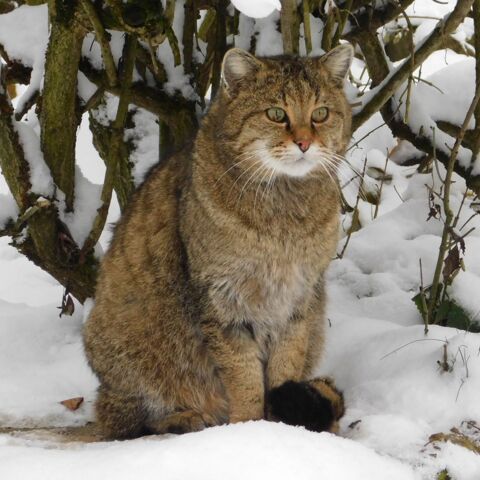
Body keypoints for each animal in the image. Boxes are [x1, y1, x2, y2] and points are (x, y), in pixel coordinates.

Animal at [83, 43, 352, 436]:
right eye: (276, 114)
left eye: (321, 114)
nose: (304, 142)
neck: (284, 211)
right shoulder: (222, 302)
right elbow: (244, 377)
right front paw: (248, 429)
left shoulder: (298, 301)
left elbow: (285, 366)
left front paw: (284, 431)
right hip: (128, 352)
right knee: (126, 421)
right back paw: (185, 419)